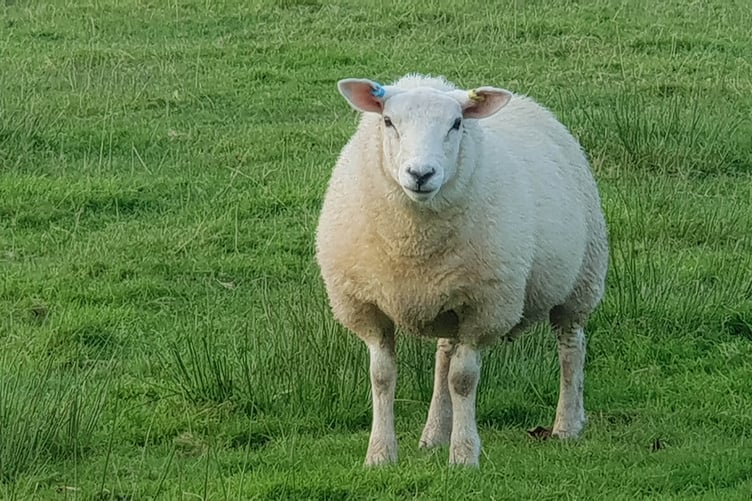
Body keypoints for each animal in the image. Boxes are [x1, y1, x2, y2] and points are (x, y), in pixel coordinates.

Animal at [315, 74, 608, 467]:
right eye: (388, 121)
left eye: (456, 124)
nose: (421, 174)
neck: (413, 243)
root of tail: (529, 103)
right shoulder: (366, 306)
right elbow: (382, 377)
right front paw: (380, 454)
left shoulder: (483, 307)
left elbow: (464, 380)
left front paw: (464, 455)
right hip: (449, 299)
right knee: (443, 356)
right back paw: (434, 433)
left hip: (581, 282)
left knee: (571, 347)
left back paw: (567, 424)